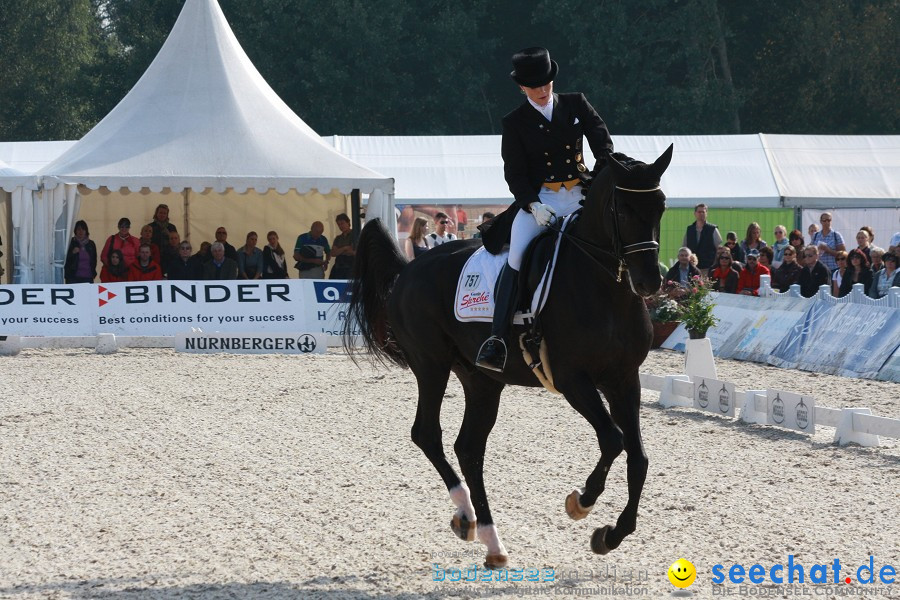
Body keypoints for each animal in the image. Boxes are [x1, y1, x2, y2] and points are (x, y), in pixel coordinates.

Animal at [342, 145, 668, 568]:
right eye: (623, 211)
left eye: (660, 207)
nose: (648, 282)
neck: (603, 286)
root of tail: (409, 268)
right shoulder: (573, 379)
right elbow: (613, 439)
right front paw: (581, 503)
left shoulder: (624, 378)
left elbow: (638, 457)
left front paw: (611, 535)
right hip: (430, 364)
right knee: (427, 434)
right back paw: (469, 516)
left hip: (481, 380)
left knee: (468, 447)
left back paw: (486, 536)